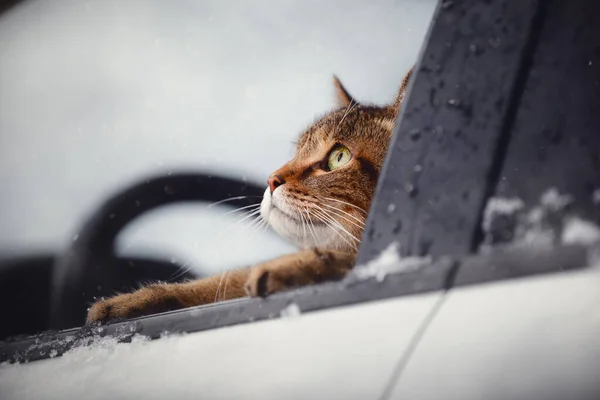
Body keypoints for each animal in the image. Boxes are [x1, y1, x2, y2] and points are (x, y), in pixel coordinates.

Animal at [85, 68, 412, 324]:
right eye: (296, 151)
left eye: (339, 157)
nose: (271, 180)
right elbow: (219, 282)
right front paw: (134, 301)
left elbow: (352, 262)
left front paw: (296, 266)